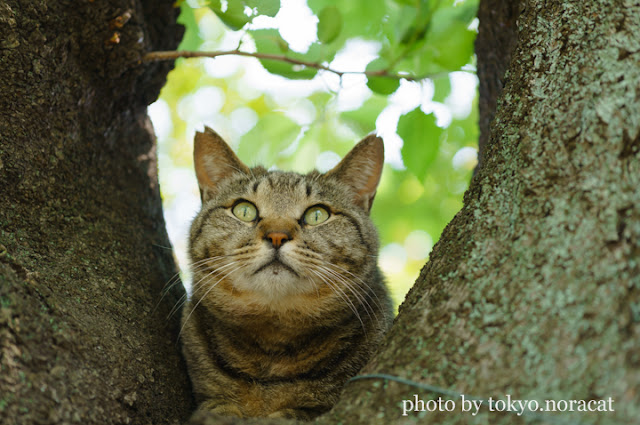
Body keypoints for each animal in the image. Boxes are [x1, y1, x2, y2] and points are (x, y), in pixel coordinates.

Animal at [178, 127, 392, 420]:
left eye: (317, 215)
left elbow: (295, 413)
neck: (274, 342)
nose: (277, 235)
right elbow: (217, 406)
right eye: (244, 210)